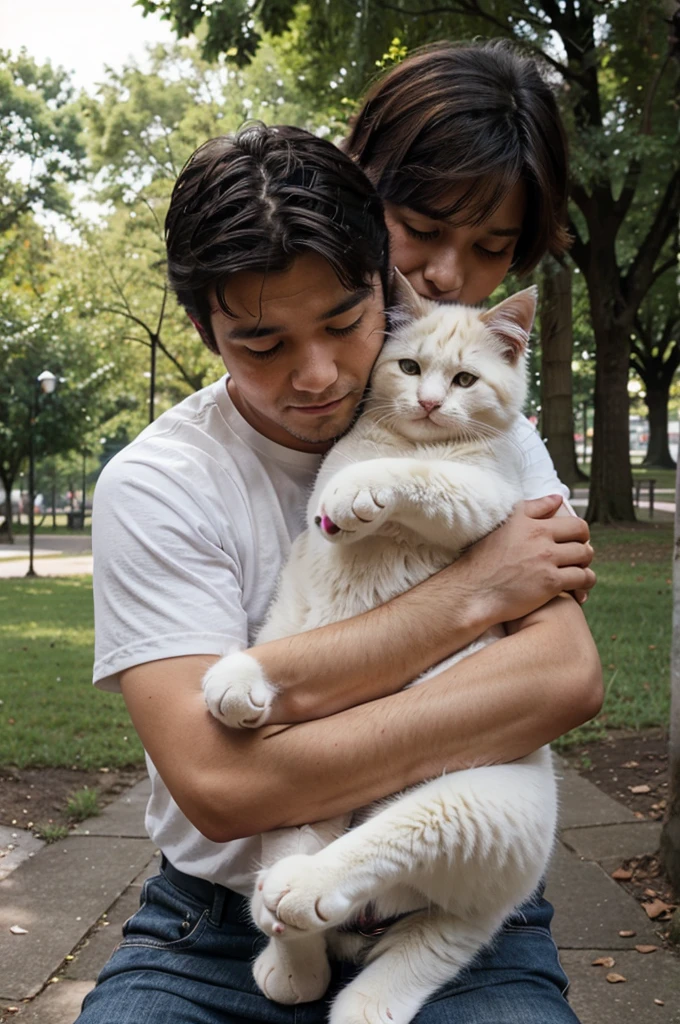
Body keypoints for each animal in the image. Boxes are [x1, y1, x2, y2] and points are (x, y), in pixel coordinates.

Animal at [202, 276, 557, 1024]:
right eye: (410, 367)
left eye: (465, 379)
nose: (429, 403)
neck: (409, 436)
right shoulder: (304, 575)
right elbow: (293, 635)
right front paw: (242, 677)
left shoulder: (487, 501)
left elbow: (422, 479)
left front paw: (365, 490)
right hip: (309, 780)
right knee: (298, 869)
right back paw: (289, 946)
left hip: (472, 803)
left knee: (375, 857)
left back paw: (305, 895)